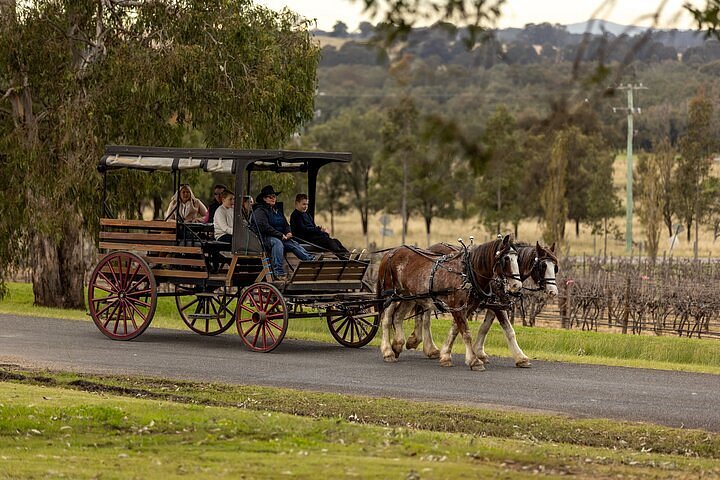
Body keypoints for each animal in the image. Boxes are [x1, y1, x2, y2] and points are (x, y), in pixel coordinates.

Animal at [374, 234, 520, 370]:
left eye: (517, 258)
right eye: (506, 259)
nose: (517, 286)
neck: (467, 273)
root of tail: (390, 253)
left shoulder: (466, 308)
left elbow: (455, 331)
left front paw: (446, 356)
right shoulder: (458, 307)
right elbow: (466, 333)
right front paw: (474, 361)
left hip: (408, 296)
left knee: (398, 316)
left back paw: (398, 345)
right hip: (391, 295)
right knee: (387, 320)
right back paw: (388, 352)